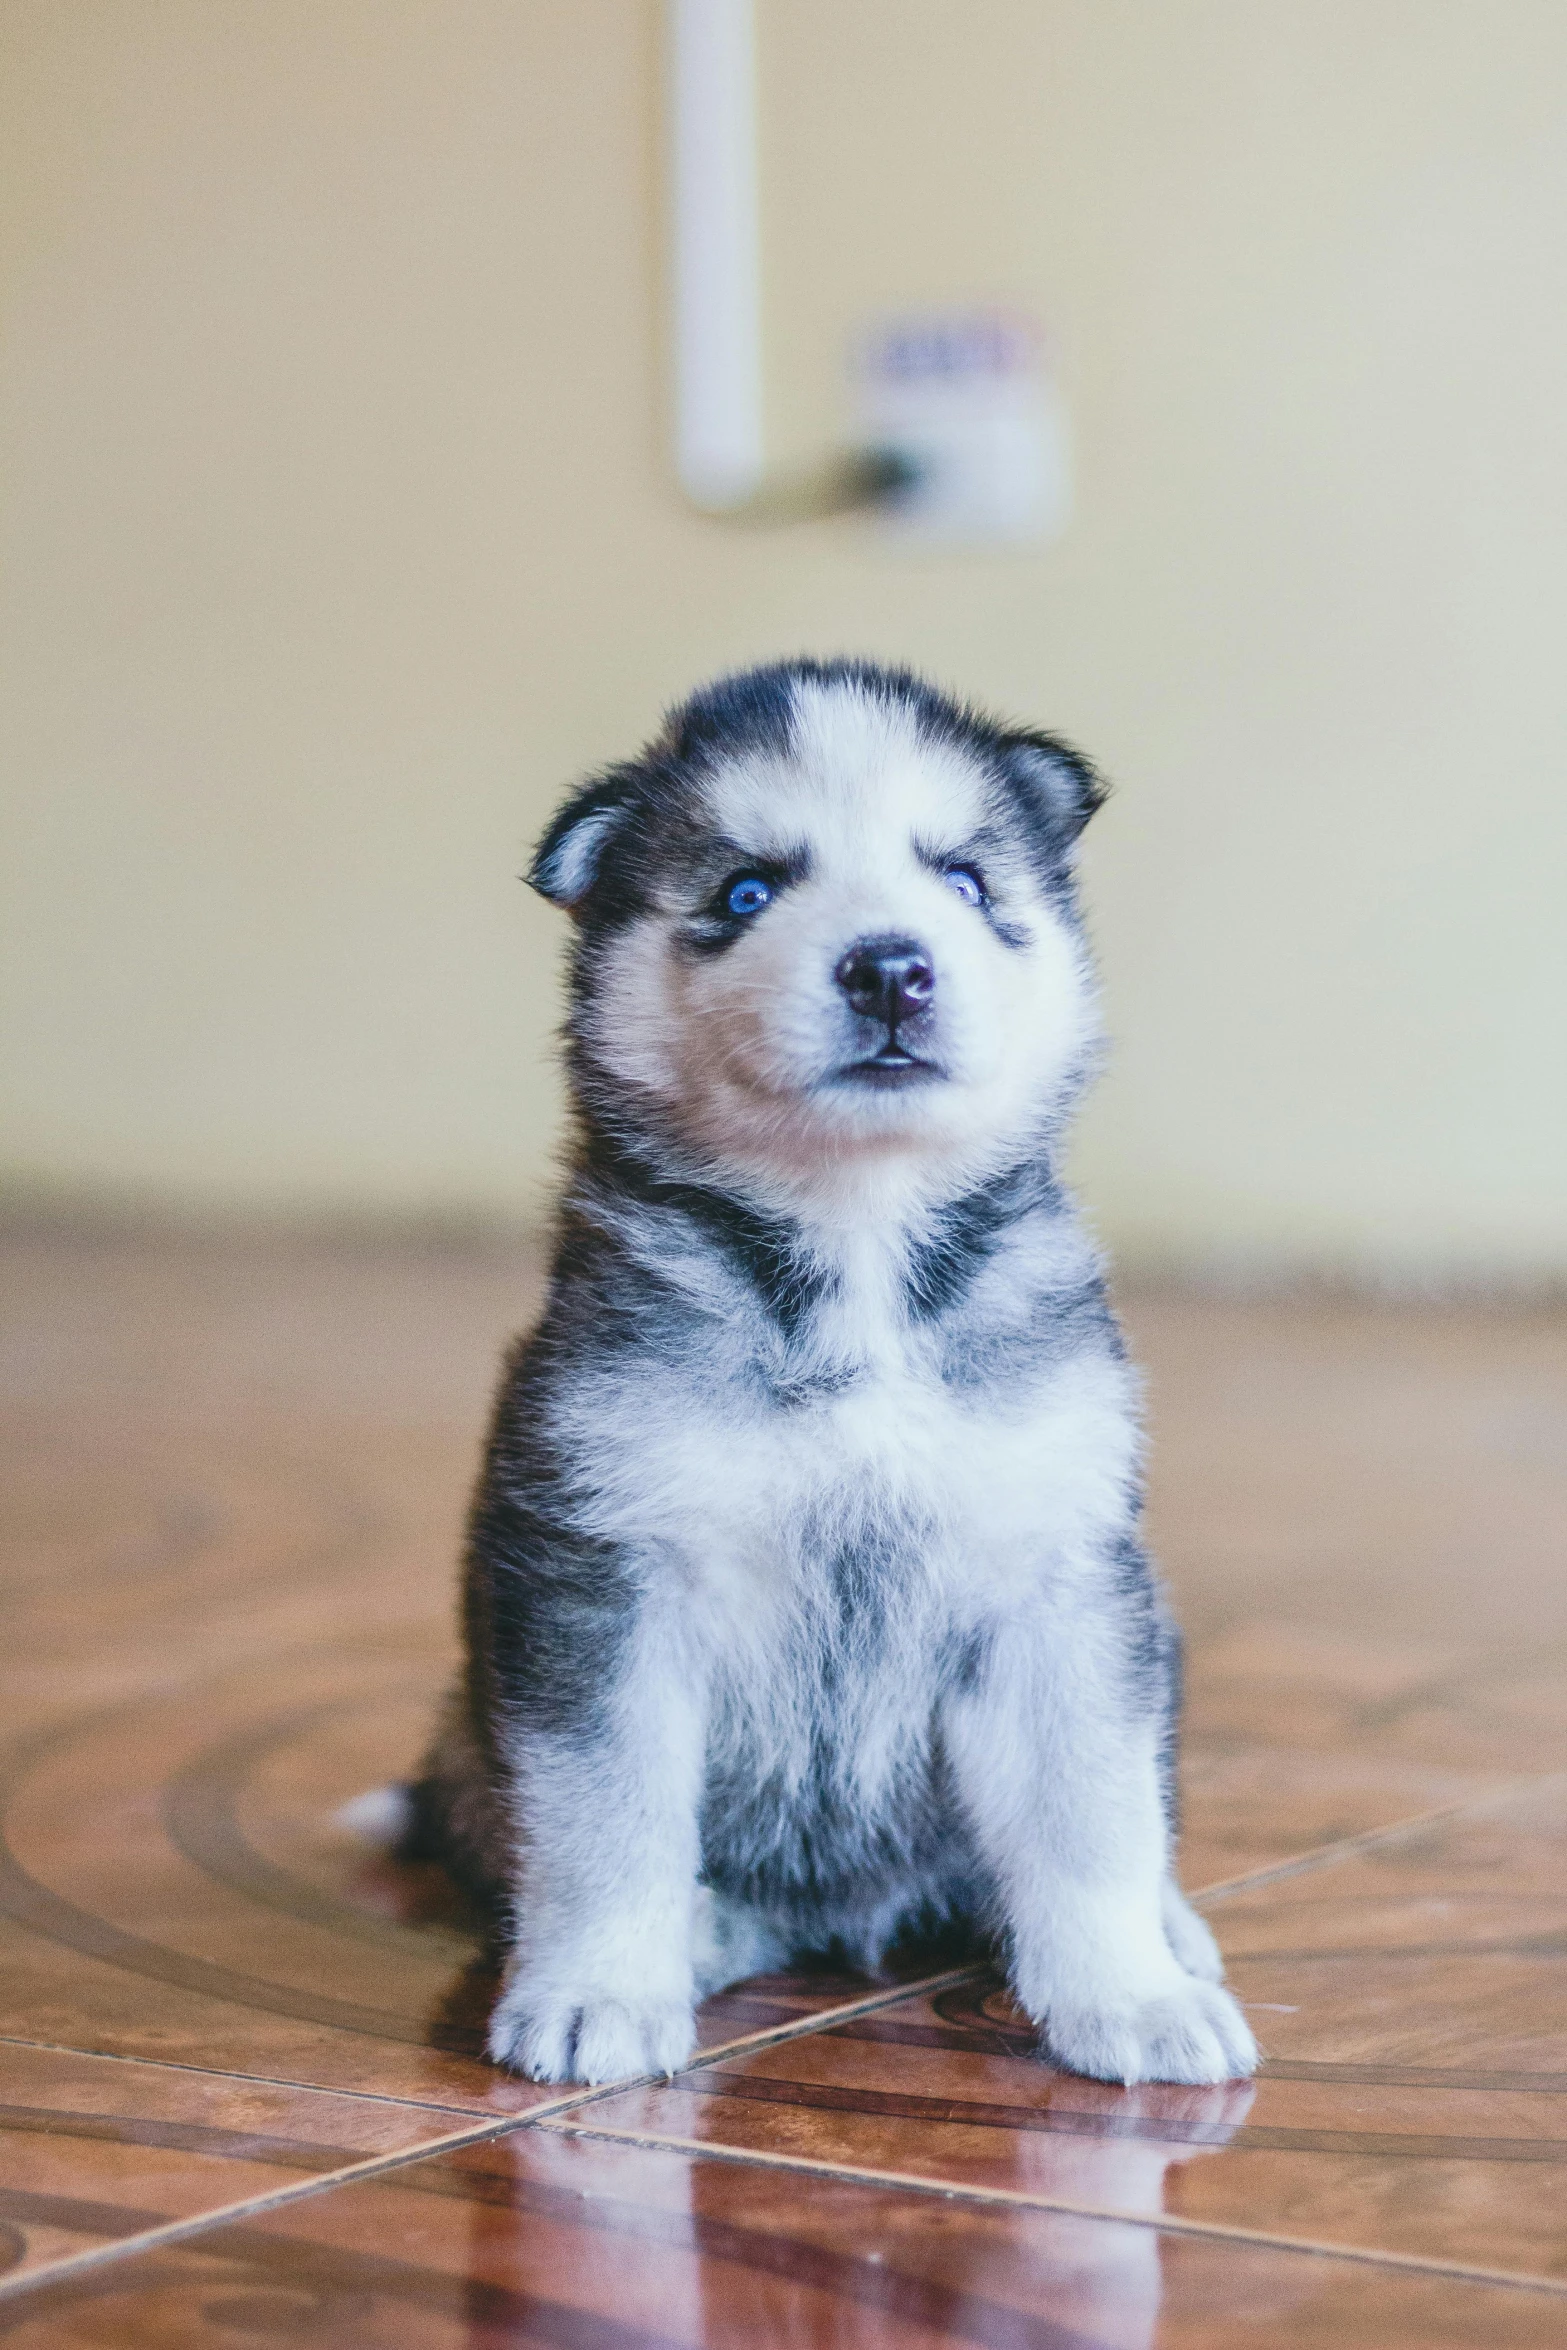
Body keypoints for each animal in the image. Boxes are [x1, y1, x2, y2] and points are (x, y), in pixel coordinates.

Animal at [408, 653, 1259, 2086]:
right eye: (748, 890)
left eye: (962, 878)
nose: (891, 968)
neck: (857, 1256)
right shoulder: (605, 1571)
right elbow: (605, 1812)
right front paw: (594, 1988)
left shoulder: (1056, 1571)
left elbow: (1088, 1809)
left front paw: (1130, 1995)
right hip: (479, 1724)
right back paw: (692, 1931)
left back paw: (1172, 1931)